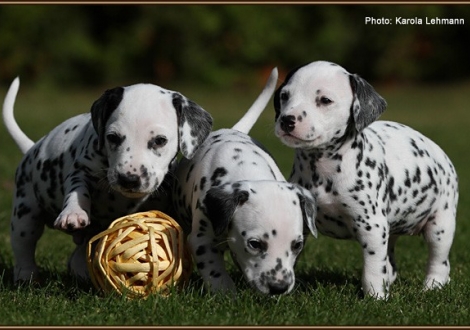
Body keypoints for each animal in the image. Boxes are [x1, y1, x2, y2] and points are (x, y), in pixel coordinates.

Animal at [2, 76, 212, 282]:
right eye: (112, 137)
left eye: (160, 140)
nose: (129, 179)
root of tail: (32, 148)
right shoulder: (81, 170)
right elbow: (77, 190)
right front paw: (73, 212)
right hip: (25, 213)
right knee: (23, 246)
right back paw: (26, 275)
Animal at [173, 68, 316, 296]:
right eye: (255, 244)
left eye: (297, 245)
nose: (279, 287)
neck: (245, 166)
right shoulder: (202, 241)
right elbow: (215, 272)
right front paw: (226, 294)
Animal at [274, 60, 458, 300]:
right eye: (284, 96)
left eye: (325, 100)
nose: (287, 120)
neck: (322, 170)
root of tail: (440, 152)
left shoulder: (372, 228)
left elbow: (372, 269)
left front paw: (375, 298)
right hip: (392, 230)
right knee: (390, 263)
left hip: (441, 225)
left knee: (439, 261)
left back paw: (432, 285)